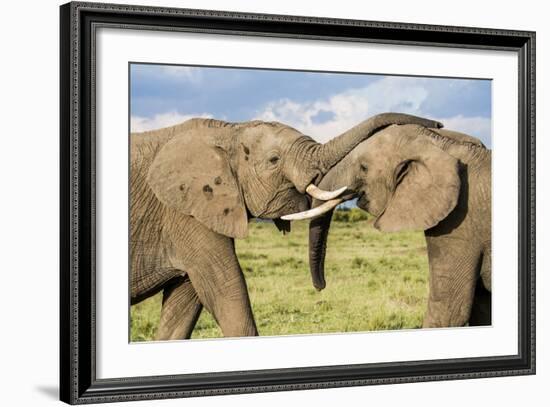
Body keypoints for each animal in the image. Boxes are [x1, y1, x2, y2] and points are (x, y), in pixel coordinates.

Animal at [130, 113, 444, 340]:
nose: (438, 124)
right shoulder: (184, 213)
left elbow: (186, 303)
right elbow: (227, 289)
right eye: (273, 160)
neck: (228, 130)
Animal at [284, 123, 492, 328]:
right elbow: (481, 308)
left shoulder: (461, 222)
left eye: (364, 168)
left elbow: (448, 311)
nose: (321, 287)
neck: (441, 143)